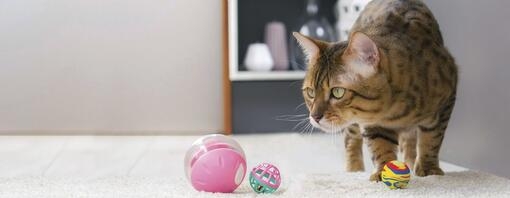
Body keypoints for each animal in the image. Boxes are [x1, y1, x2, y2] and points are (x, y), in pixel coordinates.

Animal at [294, 0, 458, 181]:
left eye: (337, 92)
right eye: (310, 92)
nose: (314, 117)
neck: (396, 108)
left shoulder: (447, 98)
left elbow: (431, 139)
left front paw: (429, 169)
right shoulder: (371, 122)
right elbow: (380, 146)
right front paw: (383, 171)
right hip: (355, 126)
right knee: (351, 139)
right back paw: (355, 170)